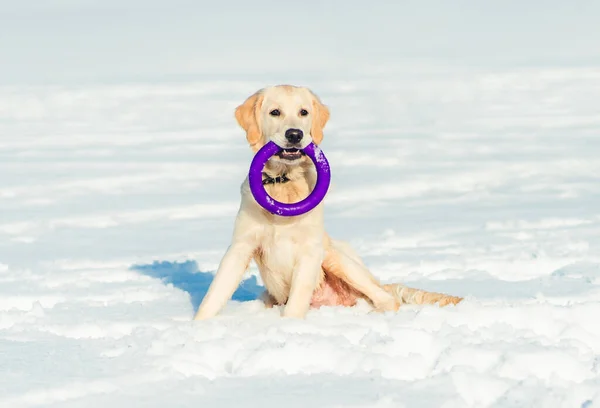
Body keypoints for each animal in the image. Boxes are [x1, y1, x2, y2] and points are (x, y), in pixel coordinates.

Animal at [195, 84, 462, 320]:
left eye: (303, 112)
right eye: (275, 112)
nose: (295, 134)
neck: (284, 182)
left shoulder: (310, 251)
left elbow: (296, 302)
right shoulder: (241, 246)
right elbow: (215, 294)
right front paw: (199, 325)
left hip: (337, 258)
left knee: (387, 299)